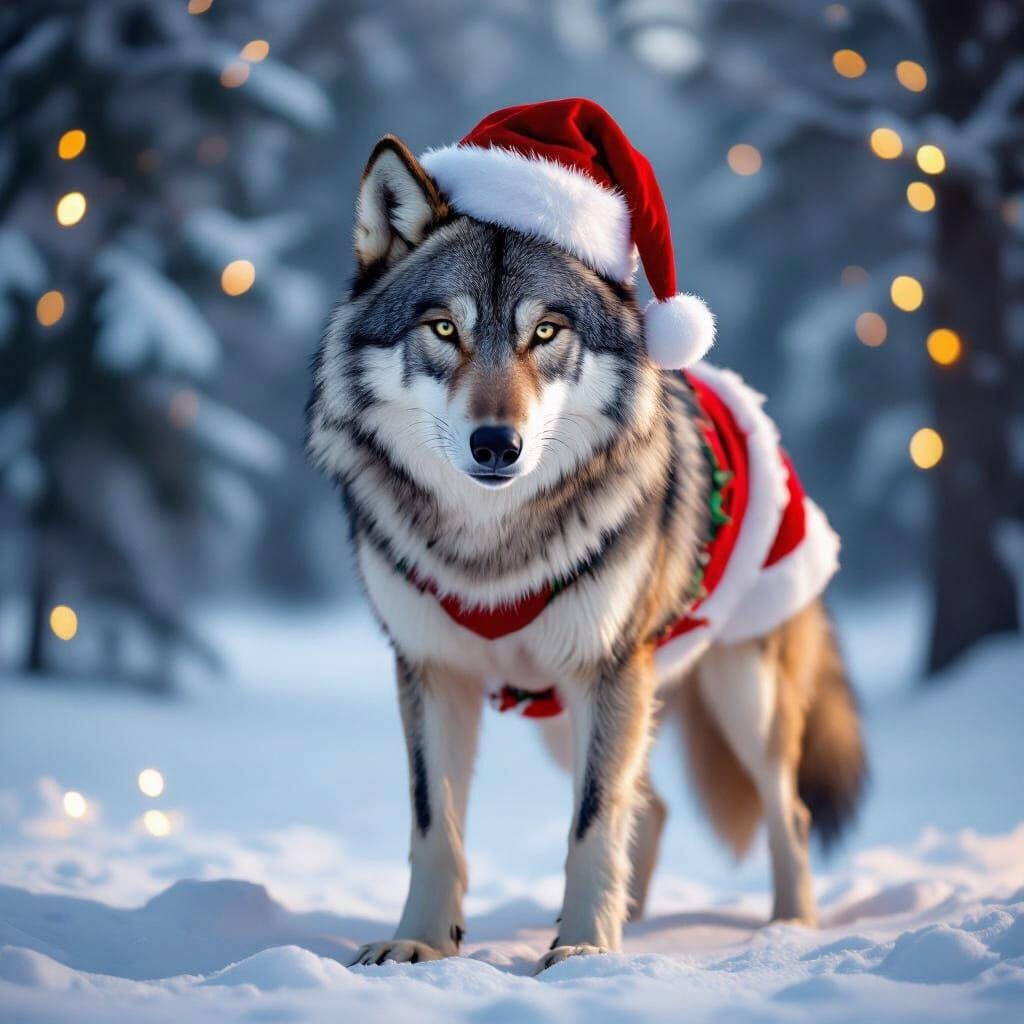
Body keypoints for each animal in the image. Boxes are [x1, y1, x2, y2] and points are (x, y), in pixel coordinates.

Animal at [307, 117, 866, 973]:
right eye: (444, 329)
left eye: (545, 331)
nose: (495, 444)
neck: (490, 554)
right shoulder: (432, 670)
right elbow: (436, 827)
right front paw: (420, 943)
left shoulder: (606, 669)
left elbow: (594, 824)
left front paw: (583, 953)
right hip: (557, 713)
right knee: (656, 806)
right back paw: (637, 920)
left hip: (739, 693)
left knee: (788, 811)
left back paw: (786, 932)